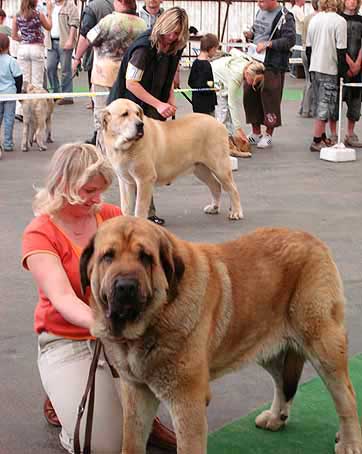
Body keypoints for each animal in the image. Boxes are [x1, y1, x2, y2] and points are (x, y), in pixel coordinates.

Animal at [80, 216, 362, 454]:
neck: (155, 318)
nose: (125, 286)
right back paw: (275, 417)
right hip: (265, 347)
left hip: (323, 346)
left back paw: (349, 442)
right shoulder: (136, 393)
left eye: (146, 257)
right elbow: (131, 441)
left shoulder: (188, 402)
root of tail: (313, 241)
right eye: (108, 256)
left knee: (346, 396)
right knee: (283, 381)